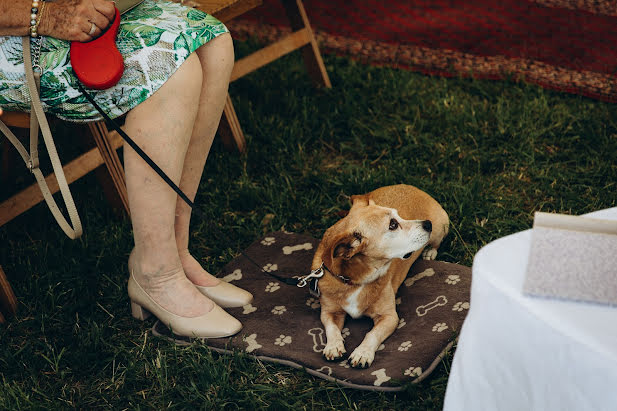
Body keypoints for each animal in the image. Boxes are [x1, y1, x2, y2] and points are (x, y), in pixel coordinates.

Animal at [310, 185, 446, 368]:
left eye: (398, 217)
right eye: (393, 225)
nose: (427, 223)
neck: (356, 280)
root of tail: (416, 188)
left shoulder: (389, 317)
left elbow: (372, 334)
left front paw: (362, 353)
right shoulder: (329, 312)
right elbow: (332, 328)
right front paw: (333, 346)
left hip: (439, 229)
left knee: (436, 243)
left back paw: (430, 251)